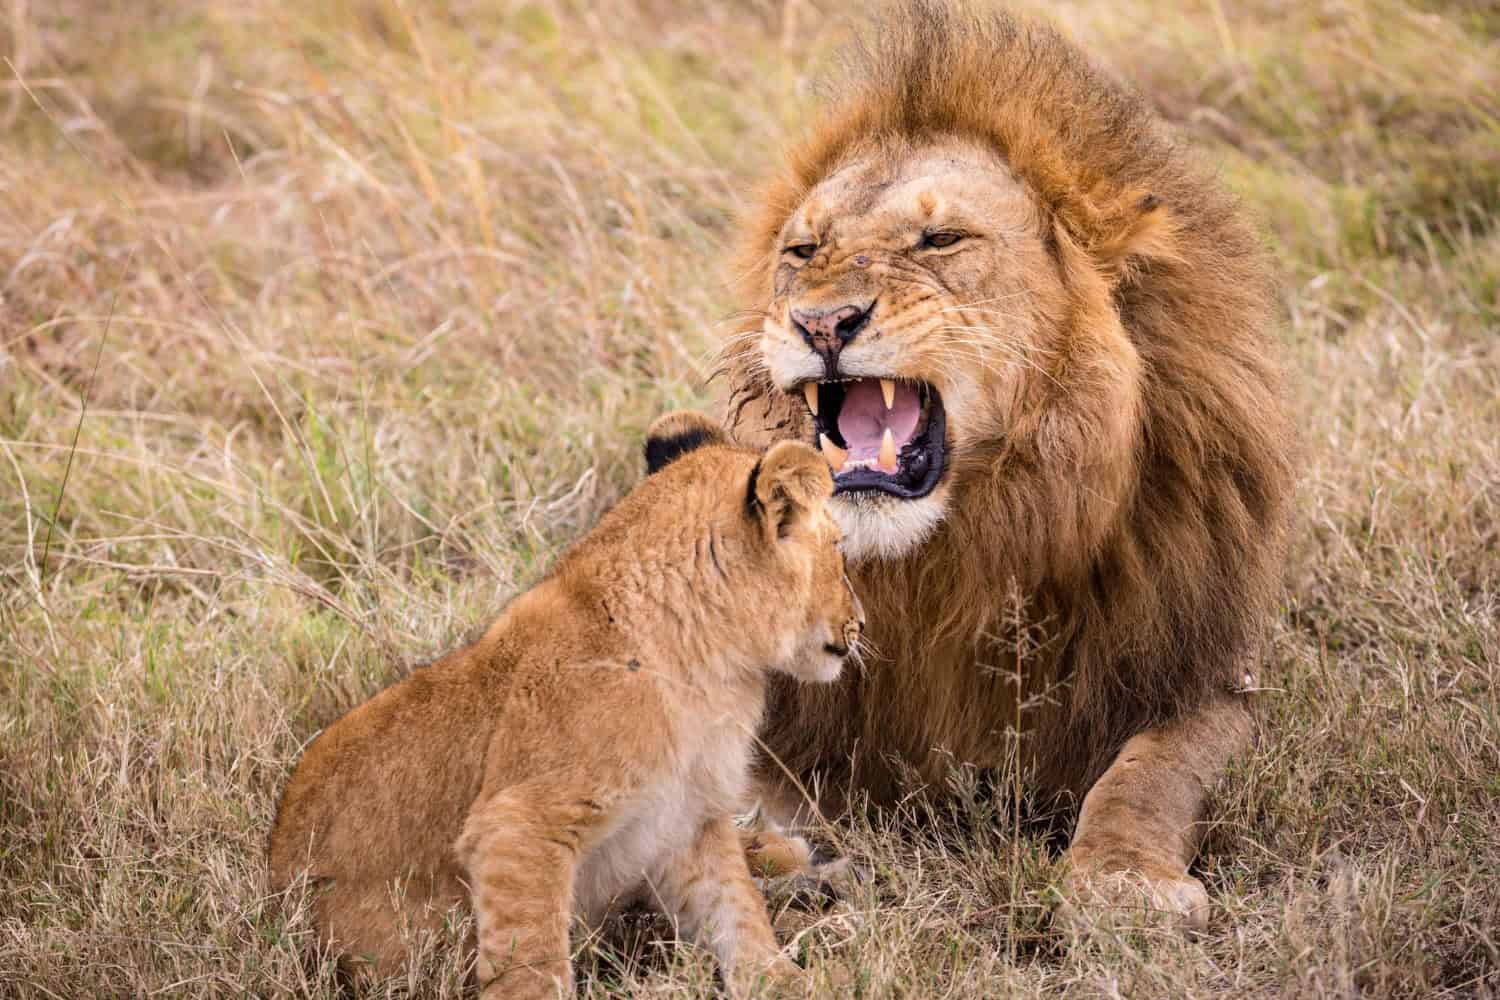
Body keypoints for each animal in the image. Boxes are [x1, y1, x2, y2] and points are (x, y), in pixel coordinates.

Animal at [267, 412, 863, 998]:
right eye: (838, 548)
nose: (859, 622)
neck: (711, 661)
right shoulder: (518, 825)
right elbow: (533, 962)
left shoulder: (689, 814)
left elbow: (737, 910)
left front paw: (785, 983)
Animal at [717, 1, 1293, 927]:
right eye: (802, 251)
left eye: (942, 238)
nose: (822, 323)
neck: (964, 548)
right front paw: (783, 856)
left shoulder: (1205, 680)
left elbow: (1148, 775)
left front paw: (1125, 881)